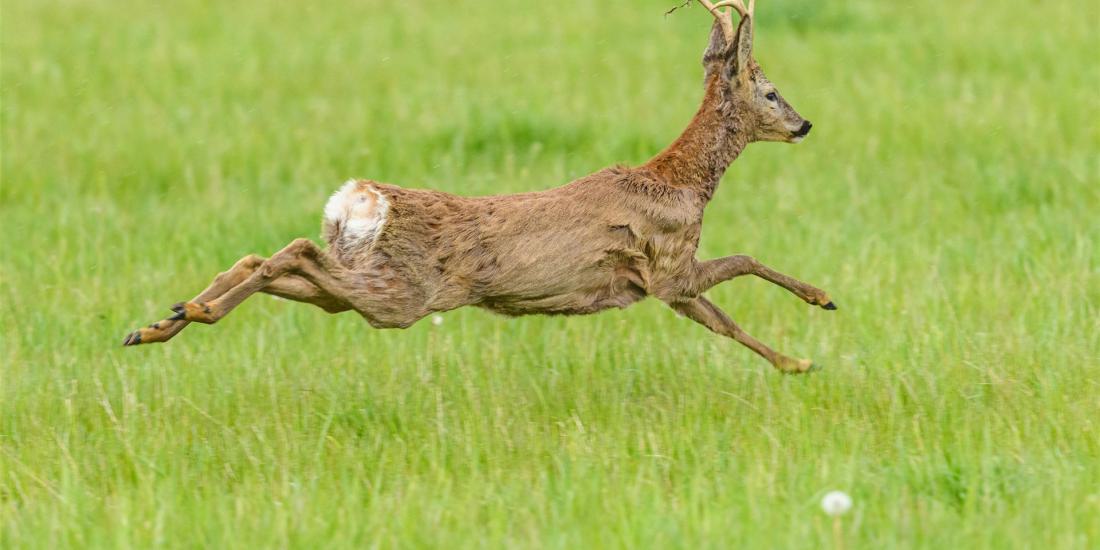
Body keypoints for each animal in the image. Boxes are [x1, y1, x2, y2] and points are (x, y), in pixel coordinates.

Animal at [122, 1, 831, 374]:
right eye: (771, 91)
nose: (804, 124)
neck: (680, 182)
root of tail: (361, 200)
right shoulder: (667, 267)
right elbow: (743, 264)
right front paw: (819, 312)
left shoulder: (662, 285)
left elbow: (723, 321)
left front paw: (797, 361)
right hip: (401, 292)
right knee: (291, 254)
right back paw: (187, 314)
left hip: (364, 283)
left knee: (271, 260)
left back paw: (164, 320)